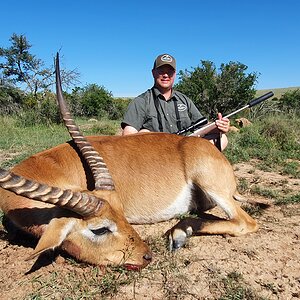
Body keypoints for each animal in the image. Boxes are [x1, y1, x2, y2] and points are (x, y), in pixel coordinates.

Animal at [0, 53, 258, 270]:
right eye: (100, 229)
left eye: (122, 212)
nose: (147, 255)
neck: (50, 166)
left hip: (213, 187)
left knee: (246, 222)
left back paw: (178, 233)